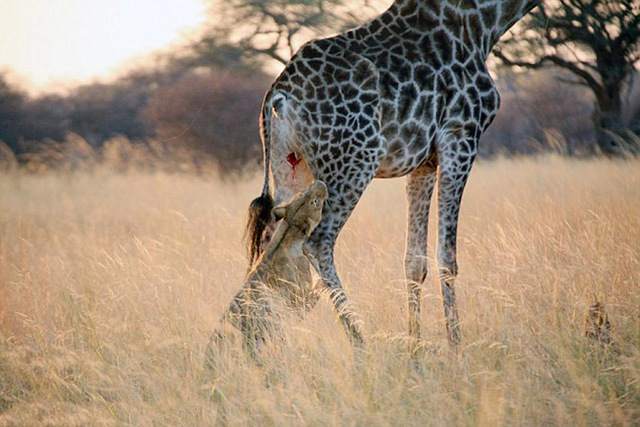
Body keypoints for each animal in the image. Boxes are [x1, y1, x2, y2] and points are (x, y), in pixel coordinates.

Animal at [245, 0, 540, 350]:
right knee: (317, 242)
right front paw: (457, 351)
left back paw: (264, 348)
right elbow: (447, 257)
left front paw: (416, 353)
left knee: (272, 244)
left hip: (291, 167)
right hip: (356, 160)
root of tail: (279, 93)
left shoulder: (425, 160)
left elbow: (415, 260)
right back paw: (362, 345)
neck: (485, 23)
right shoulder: (461, 135)